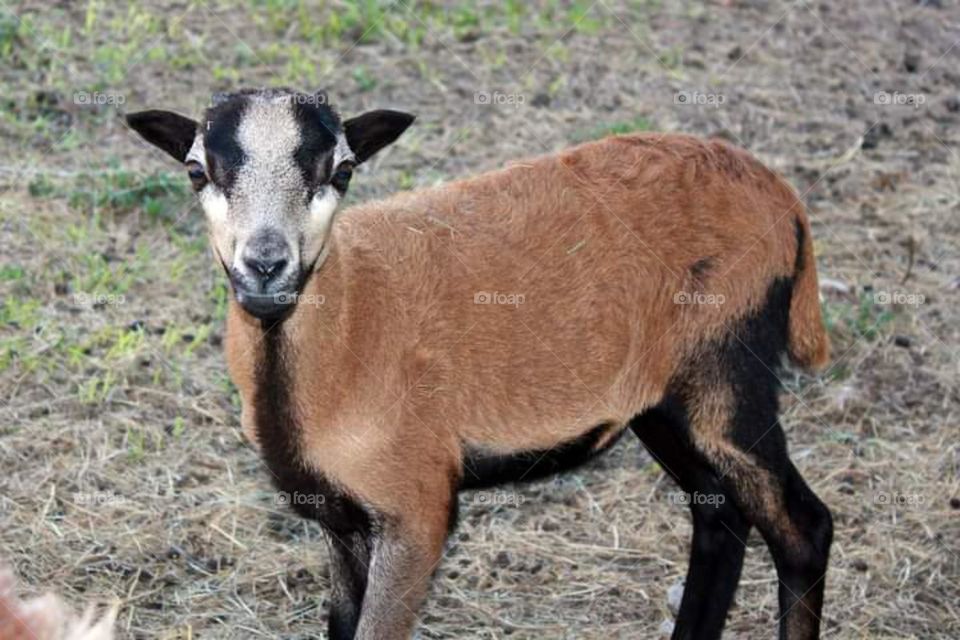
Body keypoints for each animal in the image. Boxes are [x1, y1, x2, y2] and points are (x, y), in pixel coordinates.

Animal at [126, 87, 833, 640]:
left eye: (343, 169)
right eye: (197, 171)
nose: (266, 267)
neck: (351, 326)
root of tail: (781, 197)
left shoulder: (416, 509)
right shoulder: (339, 517)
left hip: (730, 366)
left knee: (803, 528)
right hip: (667, 399)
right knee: (718, 516)